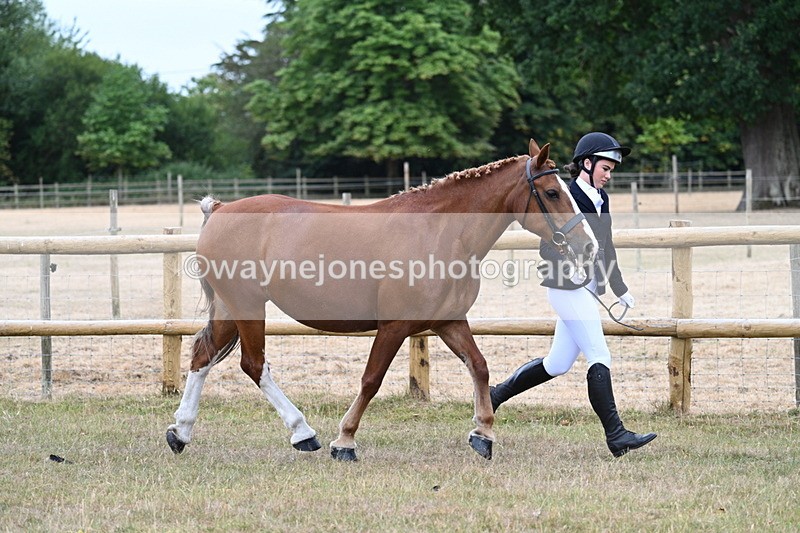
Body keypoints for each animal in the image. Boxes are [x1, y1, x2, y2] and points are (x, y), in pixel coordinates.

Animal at [166, 139, 597, 461]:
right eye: (553, 192)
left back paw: (181, 432)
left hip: (230, 309)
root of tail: (221, 209)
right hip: (248, 308)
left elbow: (479, 368)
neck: (441, 231)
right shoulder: (394, 326)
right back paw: (303, 432)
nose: (588, 246)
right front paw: (345, 440)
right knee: (253, 365)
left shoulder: (448, 322)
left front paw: (483, 434)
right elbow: (371, 380)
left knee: (203, 356)